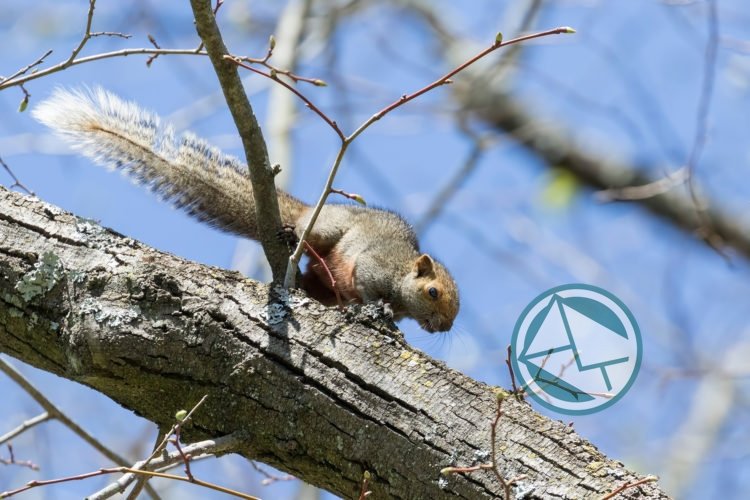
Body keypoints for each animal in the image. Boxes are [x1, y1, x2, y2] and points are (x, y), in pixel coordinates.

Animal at [32, 88, 459, 332]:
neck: (403, 278)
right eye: (433, 292)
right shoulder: (376, 265)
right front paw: (378, 310)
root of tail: (307, 211)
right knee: (312, 242)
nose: (442, 328)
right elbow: (369, 286)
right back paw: (291, 237)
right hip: (327, 229)